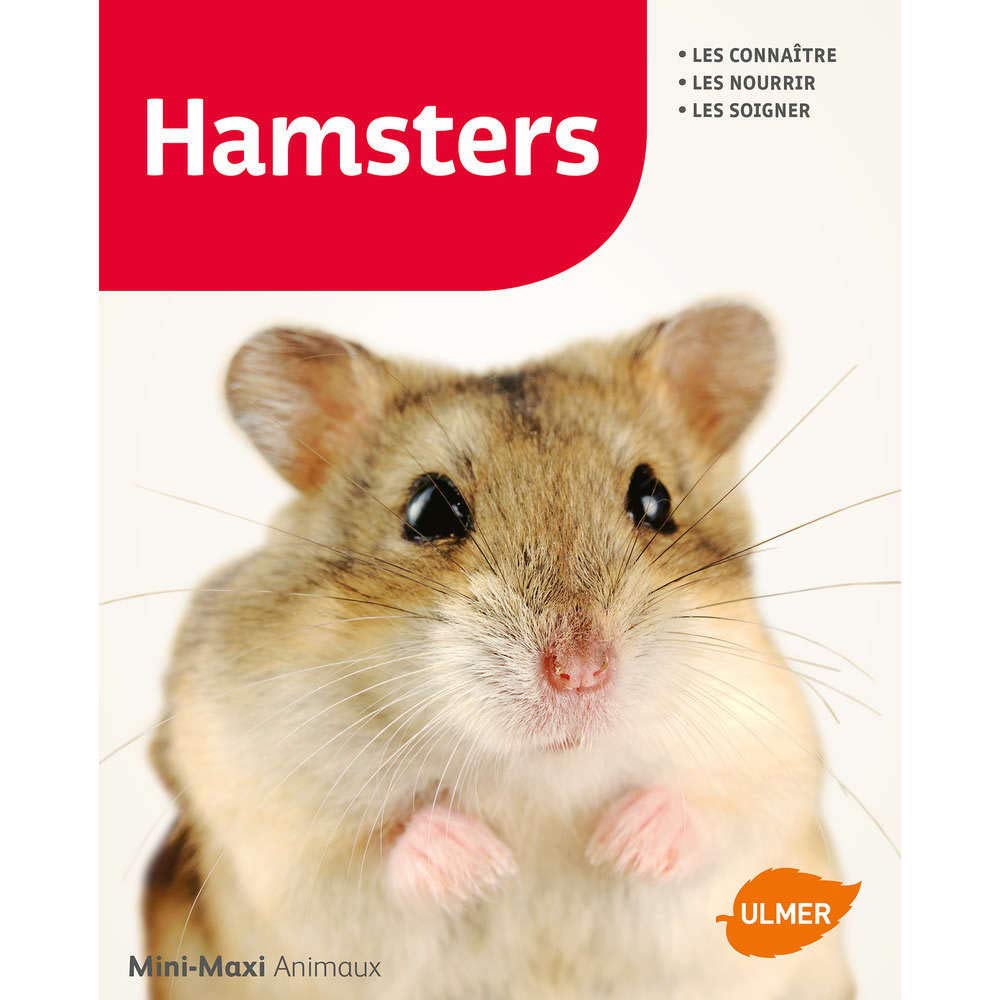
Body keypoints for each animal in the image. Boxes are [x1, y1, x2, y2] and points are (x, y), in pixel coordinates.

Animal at [144, 303, 854, 999]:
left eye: (655, 499)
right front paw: (488, 865)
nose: (580, 673)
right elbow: (373, 851)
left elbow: (718, 812)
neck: (541, 775)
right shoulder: (266, 822)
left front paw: (618, 845)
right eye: (427, 510)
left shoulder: (774, 761)